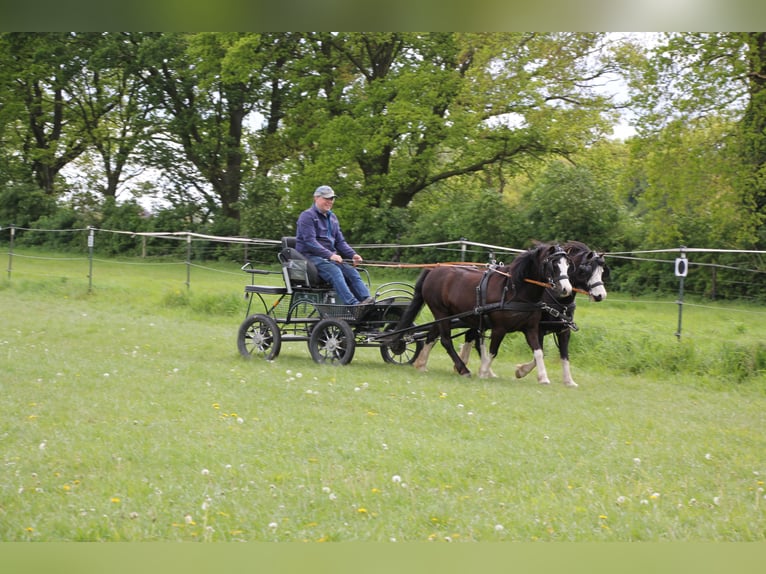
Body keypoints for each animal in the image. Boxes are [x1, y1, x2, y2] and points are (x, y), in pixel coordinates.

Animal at [392, 244, 572, 382]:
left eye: (568, 265)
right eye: (554, 264)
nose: (566, 289)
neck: (514, 290)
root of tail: (433, 269)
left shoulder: (531, 329)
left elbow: (539, 353)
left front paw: (543, 378)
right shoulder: (499, 329)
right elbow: (492, 351)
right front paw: (484, 372)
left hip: (443, 314)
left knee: (431, 336)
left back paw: (422, 364)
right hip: (441, 312)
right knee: (445, 340)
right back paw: (463, 369)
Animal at [512, 241, 616, 390]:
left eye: (602, 271)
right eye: (587, 270)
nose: (601, 295)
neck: (557, 298)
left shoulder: (564, 330)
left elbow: (564, 355)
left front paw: (569, 381)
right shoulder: (538, 329)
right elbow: (539, 354)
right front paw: (522, 371)